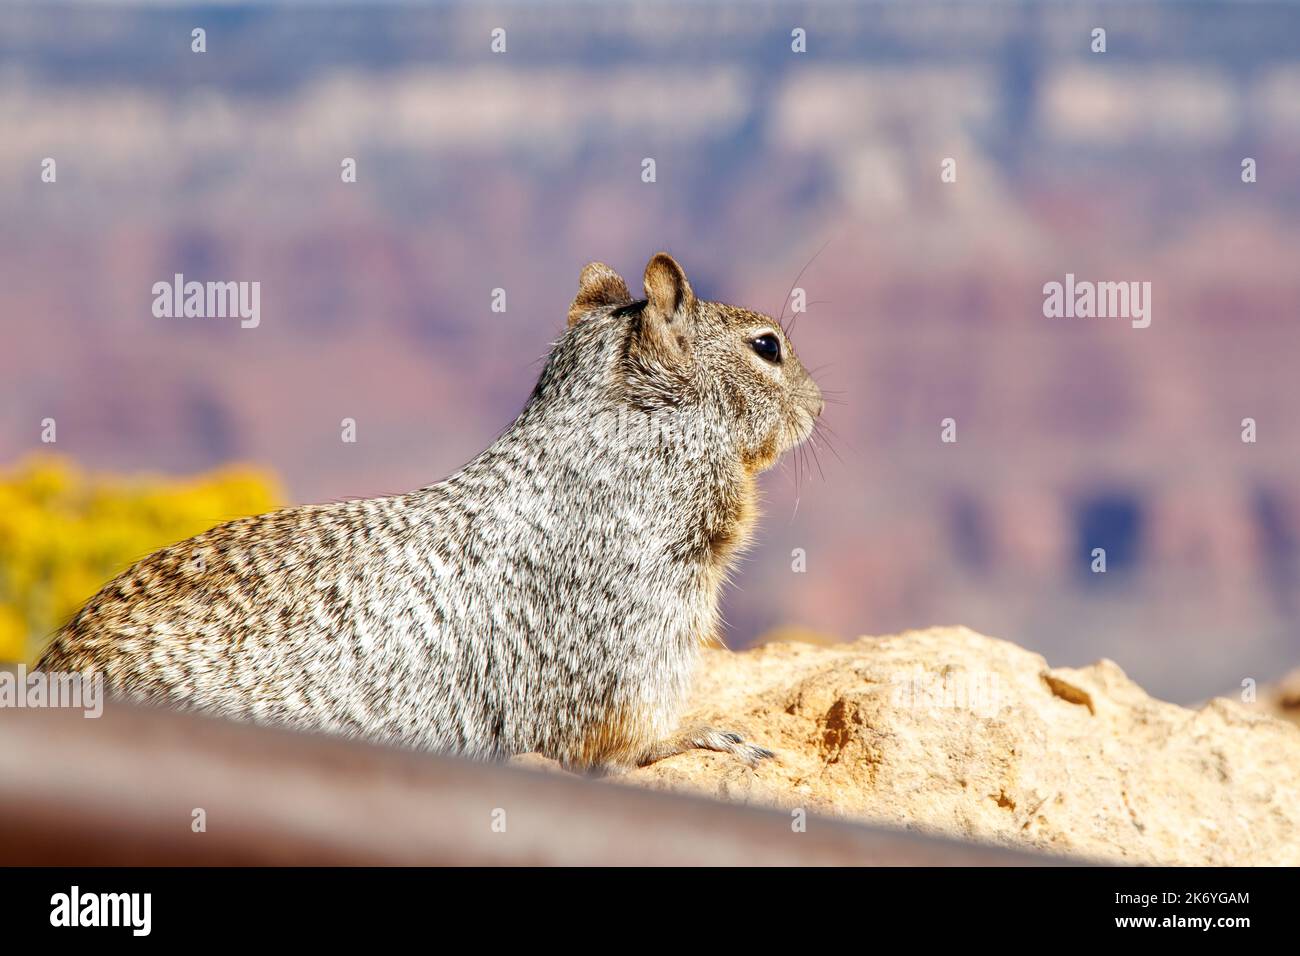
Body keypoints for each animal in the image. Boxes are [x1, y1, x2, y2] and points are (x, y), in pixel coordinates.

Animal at [38, 252, 821, 770]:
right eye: (767, 346)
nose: (817, 405)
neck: (621, 447)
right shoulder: (629, 622)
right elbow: (620, 734)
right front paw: (704, 734)